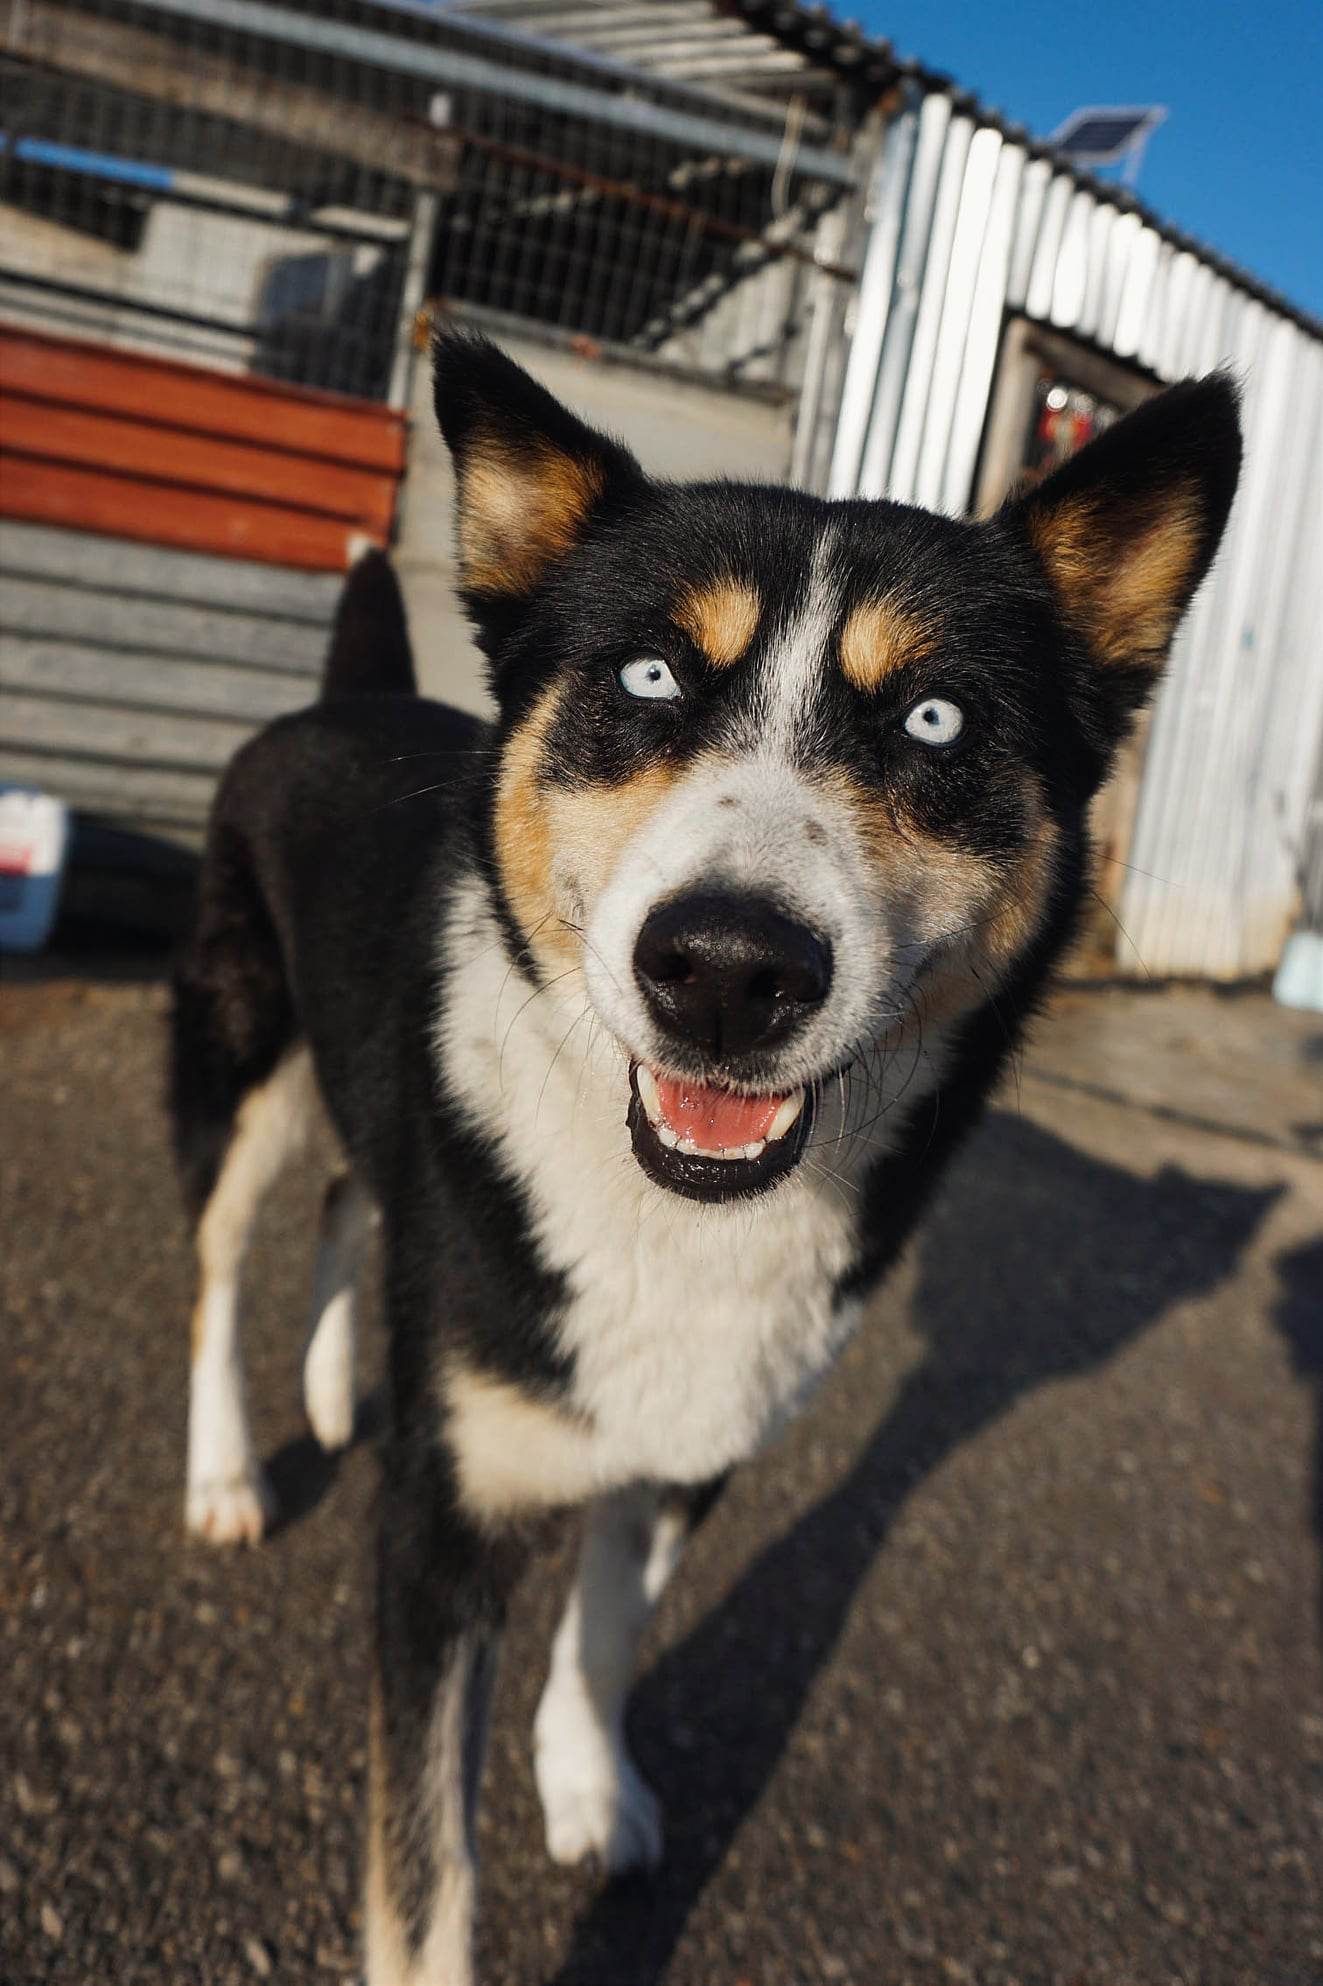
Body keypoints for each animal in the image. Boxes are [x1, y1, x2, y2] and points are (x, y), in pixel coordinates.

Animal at [169, 334, 1241, 1983]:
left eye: (934, 722)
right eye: (651, 676)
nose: (728, 970)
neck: (662, 1207)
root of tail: (345, 700)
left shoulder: (700, 1421)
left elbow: (609, 1624)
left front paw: (585, 1781)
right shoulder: (433, 1538)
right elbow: (425, 1869)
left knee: (356, 1193)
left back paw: (342, 1382)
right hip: (247, 1055)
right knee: (221, 1259)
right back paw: (227, 1466)